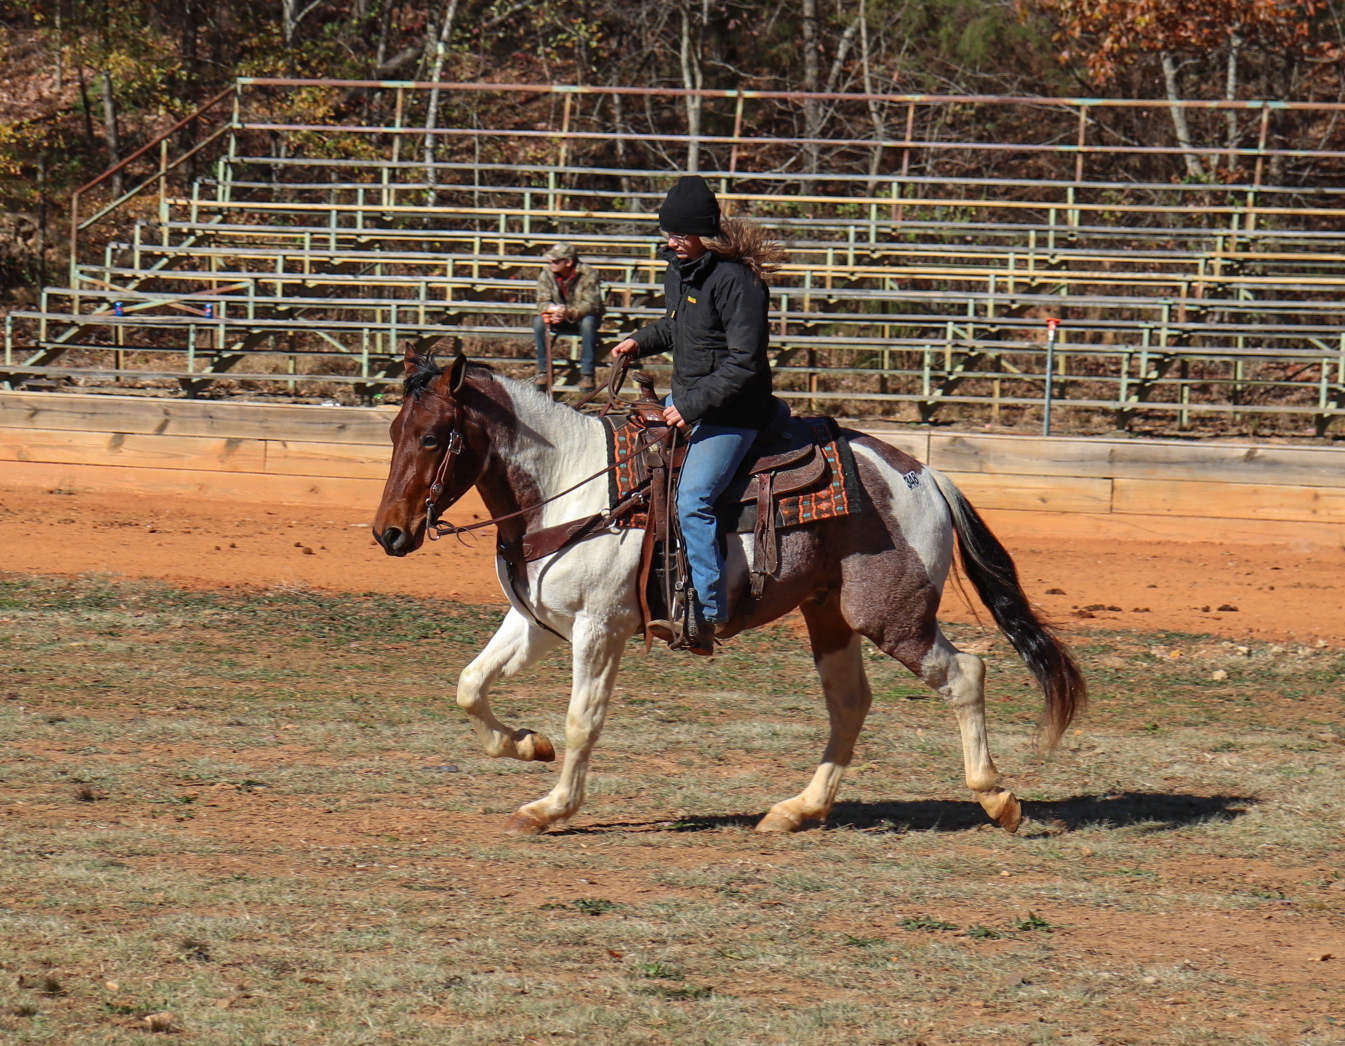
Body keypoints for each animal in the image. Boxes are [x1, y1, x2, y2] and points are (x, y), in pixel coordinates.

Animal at [372, 352, 1086, 836]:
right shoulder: (542, 622)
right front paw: (527, 744)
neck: (573, 486)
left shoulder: (600, 627)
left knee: (965, 674)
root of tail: (925, 476)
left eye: (432, 437)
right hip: (829, 615)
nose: (389, 533)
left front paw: (551, 806)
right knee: (850, 703)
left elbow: (584, 718)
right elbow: (470, 684)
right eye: (394, 432)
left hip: (892, 616)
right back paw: (798, 809)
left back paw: (997, 797)